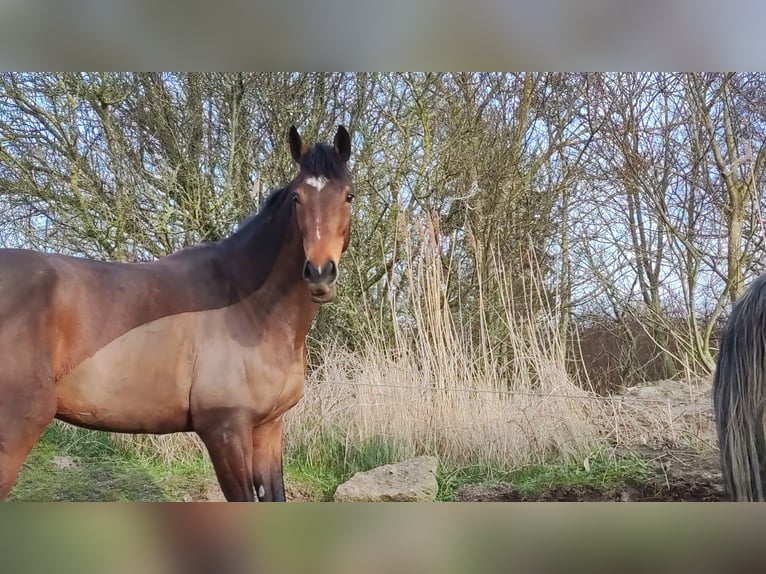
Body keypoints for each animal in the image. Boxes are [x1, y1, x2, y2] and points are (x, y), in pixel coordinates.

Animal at [0, 126, 356, 504]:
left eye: (348, 196)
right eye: (297, 199)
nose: (319, 273)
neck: (251, 306)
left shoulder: (268, 427)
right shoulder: (224, 429)